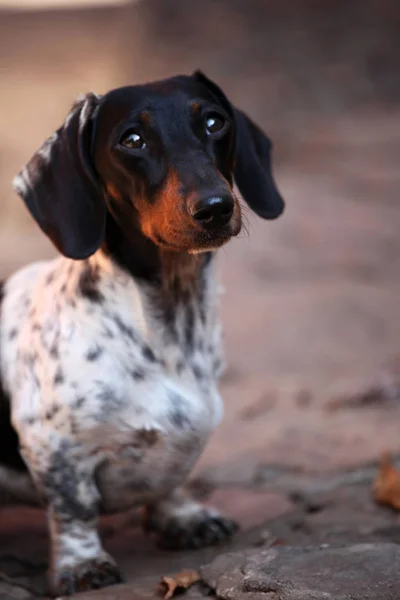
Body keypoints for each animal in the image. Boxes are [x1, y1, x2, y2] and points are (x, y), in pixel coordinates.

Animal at [0, 71, 284, 596]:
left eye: (214, 121)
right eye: (132, 139)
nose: (215, 207)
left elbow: (172, 477)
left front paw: (183, 517)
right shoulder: (53, 445)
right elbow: (73, 508)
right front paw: (82, 564)